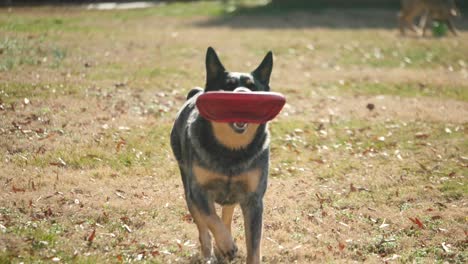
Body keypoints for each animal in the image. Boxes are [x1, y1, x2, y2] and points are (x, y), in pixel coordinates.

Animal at [171, 46, 274, 262]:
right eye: (228, 86)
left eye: (253, 87)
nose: (243, 95)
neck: (231, 151)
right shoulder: (198, 191)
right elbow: (211, 219)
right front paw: (227, 245)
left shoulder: (254, 200)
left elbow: (254, 245)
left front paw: (232, 247)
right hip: (187, 187)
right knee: (203, 228)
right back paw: (211, 253)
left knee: (227, 213)